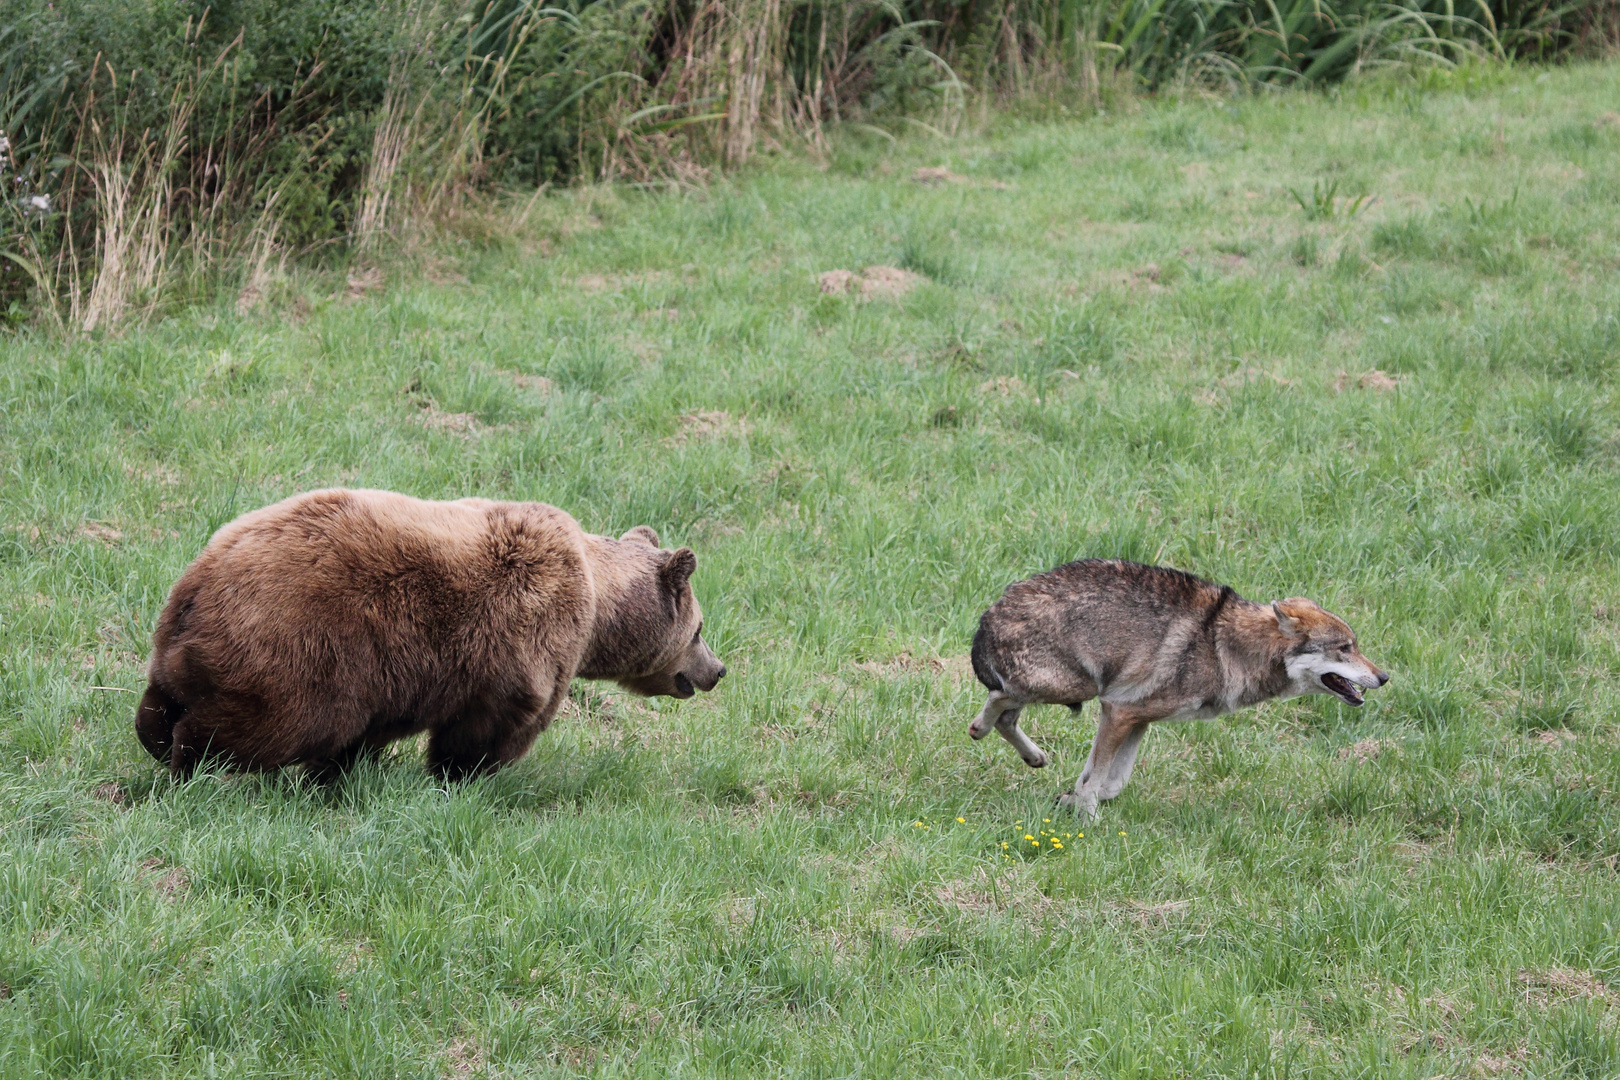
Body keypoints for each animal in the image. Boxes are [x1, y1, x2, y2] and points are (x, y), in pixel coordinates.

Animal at [132, 488, 729, 777]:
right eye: (700, 628)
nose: (718, 670)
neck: (598, 602)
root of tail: (199, 582)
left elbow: (367, 737)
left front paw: (350, 771)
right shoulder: (522, 641)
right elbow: (490, 728)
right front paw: (464, 776)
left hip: (180, 641)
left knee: (158, 702)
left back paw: (158, 738)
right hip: (297, 651)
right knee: (256, 727)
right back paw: (194, 763)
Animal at [965, 563, 1386, 816]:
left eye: (1355, 645)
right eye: (1345, 648)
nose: (1383, 677)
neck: (1224, 646)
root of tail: (990, 613)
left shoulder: (1135, 720)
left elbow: (1108, 782)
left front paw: (1072, 800)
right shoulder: (1117, 710)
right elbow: (1098, 779)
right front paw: (1086, 817)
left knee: (1006, 714)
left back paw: (1033, 756)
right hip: (1075, 687)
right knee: (996, 703)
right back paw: (982, 729)